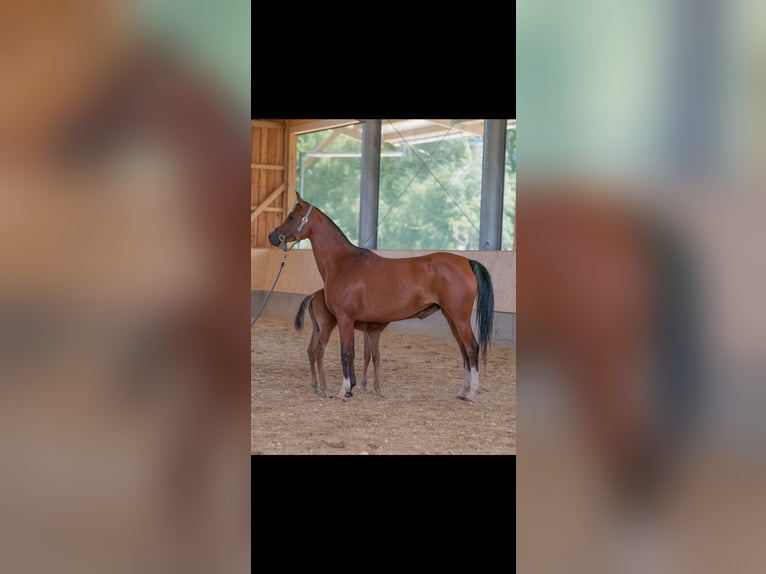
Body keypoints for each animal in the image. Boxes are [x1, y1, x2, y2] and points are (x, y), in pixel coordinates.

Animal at [270, 196, 498, 402]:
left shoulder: (345, 319)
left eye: (291, 216)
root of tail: (466, 262)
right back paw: (462, 392)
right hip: (451, 318)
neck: (344, 263)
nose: (272, 236)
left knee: (472, 347)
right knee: (463, 351)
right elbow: (354, 353)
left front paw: (344, 391)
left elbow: (346, 353)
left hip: (459, 317)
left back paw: (472, 394)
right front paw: (351, 389)